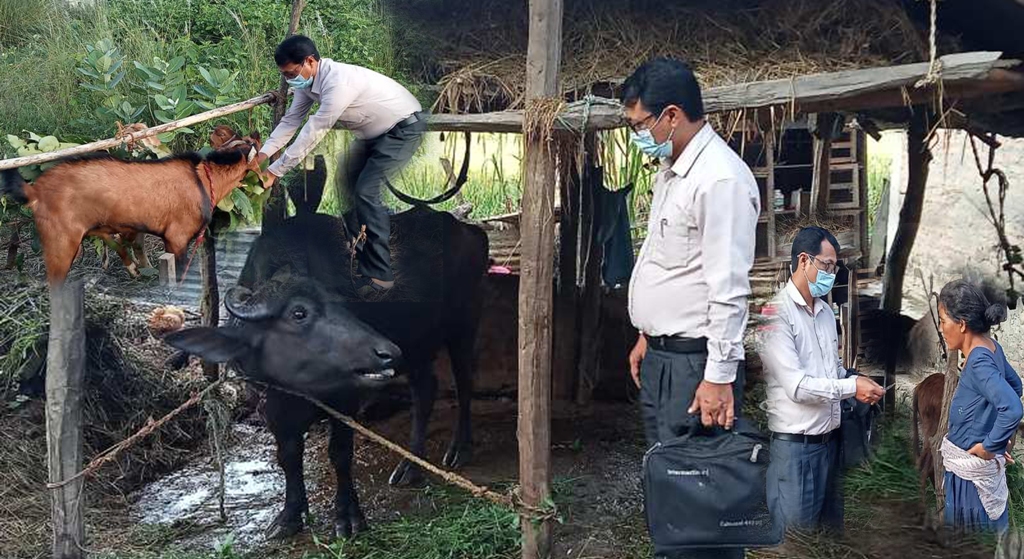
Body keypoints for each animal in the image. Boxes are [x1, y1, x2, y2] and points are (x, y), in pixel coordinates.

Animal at [2, 125, 264, 282]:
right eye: (253, 143)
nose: (257, 133)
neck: (205, 178)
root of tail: (34, 191)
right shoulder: (176, 238)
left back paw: (133, 268)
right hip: (60, 242)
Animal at [166, 205, 487, 540]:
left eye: (344, 305)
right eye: (299, 313)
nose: (384, 351)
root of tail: (469, 232)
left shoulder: (345, 398)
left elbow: (340, 453)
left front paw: (348, 516)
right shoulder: (271, 406)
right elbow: (288, 455)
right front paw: (289, 516)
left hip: (464, 323)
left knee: (464, 382)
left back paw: (459, 449)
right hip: (417, 348)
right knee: (425, 391)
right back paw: (410, 467)